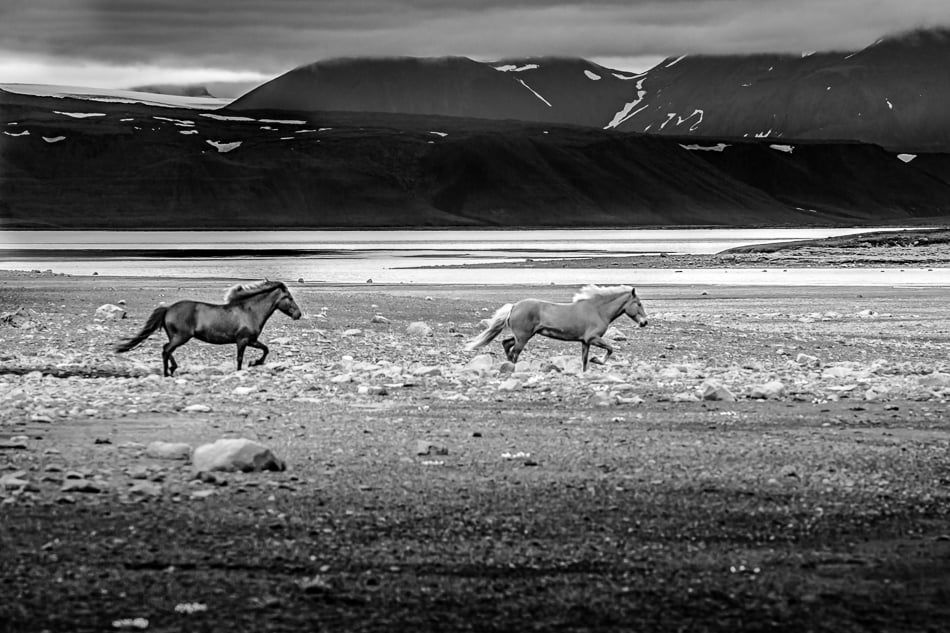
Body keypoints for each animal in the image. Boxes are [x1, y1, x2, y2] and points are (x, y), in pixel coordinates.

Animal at [115, 280, 304, 376]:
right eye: (289, 297)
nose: (298, 314)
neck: (250, 311)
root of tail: (168, 308)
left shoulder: (251, 340)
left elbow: (265, 349)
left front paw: (255, 362)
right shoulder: (242, 340)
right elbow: (240, 359)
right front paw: (245, 367)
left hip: (176, 337)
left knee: (166, 350)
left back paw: (172, 369)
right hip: (181, 337)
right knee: (166, 350)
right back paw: (167, 373)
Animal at [466, 282, 648, 370]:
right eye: (638, 304)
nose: (644, 322)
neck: (597, 310)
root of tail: (514, 306)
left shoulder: (585, 342)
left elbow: (584, 361)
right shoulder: (593, 338)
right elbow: (610, 349)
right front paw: (597, 360)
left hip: (523, 336)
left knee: (506, 344)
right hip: (523, 337)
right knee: (514, 352)